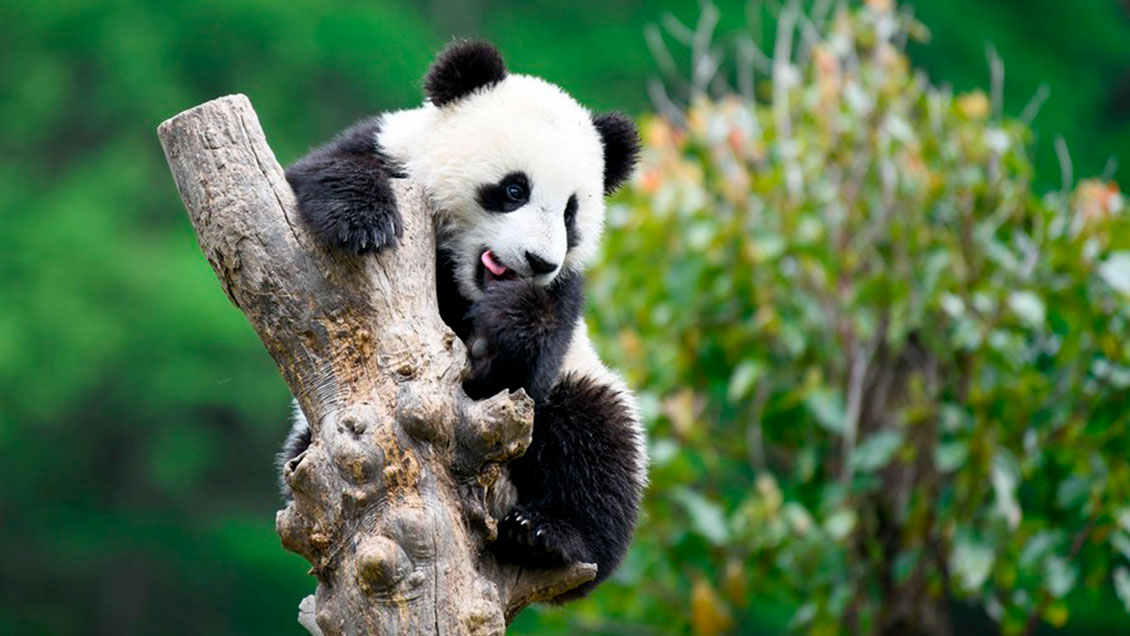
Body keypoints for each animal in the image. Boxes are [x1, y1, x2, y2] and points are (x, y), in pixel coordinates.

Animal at [278, 40, 647, 599]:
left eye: (570, 213)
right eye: (514, 190)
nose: (538, 260)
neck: (462, 285)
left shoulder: (565, 296)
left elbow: (529, 365)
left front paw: (500, 334)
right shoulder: (387, 149)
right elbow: (325, 169)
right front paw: (363, 219)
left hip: (585, 388)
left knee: (597, 441)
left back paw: (550, 535)